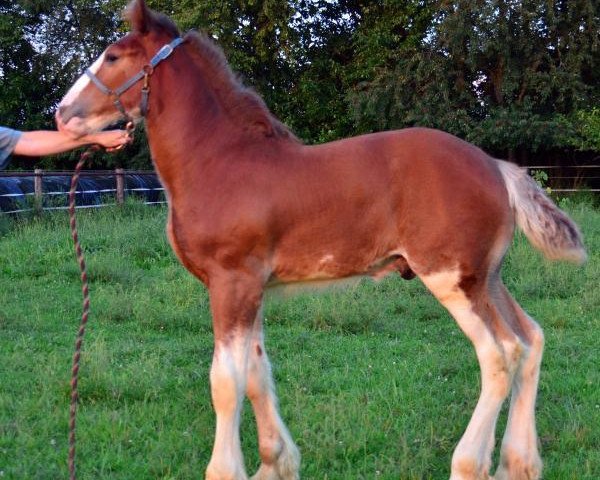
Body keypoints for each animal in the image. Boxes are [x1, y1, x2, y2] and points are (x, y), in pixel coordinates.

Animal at [57, 1, 584, 478]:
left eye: (112, 56)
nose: (63, 115)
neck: (220, 162)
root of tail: (496, 166)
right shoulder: (252, 288)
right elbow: (257, 374)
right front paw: (276, 464)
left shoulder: (231, 281)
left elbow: (225, 382)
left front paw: (226, 469)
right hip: (485, 277)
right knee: (530, 339)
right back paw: (518, 463)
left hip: (450, 277)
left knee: (499, 356)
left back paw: (469, 464)